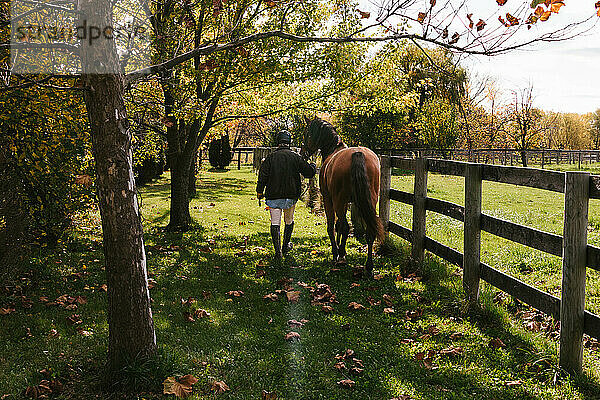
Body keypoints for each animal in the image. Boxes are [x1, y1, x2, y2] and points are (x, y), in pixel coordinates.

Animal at [300, 117, 384, 276]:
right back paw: (369, 266)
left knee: (345, 226)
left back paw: (340, 256)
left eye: (307, 133)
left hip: (339, 201)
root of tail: (358, 153)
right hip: (368, 201)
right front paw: (340, 250)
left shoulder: (329, 199)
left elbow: (332, 225)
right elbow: (338, 225)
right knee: (369, 231)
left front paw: (337, 252)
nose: (303, 153)